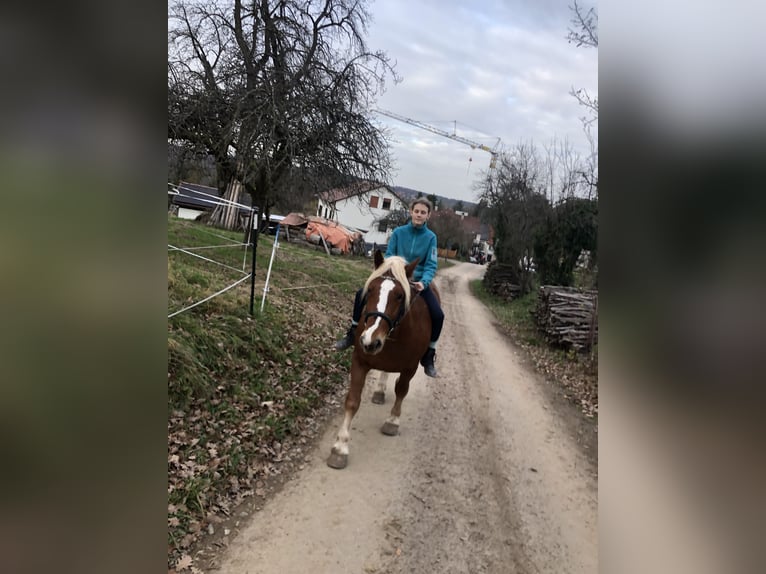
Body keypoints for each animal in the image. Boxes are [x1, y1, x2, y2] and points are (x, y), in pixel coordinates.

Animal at [327, 250, 440, 469]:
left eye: (400, 295)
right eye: (370, 290)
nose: (371, 340)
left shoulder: (410, 367)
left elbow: (401, 391)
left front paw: (392, 422)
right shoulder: (359, 361)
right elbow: (352, 401)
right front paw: (340, 447)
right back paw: (379, 391)